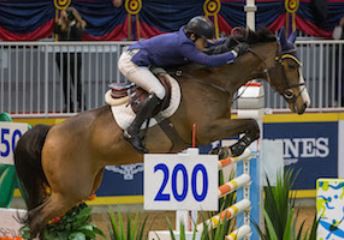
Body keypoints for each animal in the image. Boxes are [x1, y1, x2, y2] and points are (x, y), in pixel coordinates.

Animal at [13, 27, 310, 238]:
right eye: (291, 66)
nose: (303, 104)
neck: (212, 81)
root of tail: (51, 132)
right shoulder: (206, 128)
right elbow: (252, 125)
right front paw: (231, 148)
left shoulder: (216, 125)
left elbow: (251, 128)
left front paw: (225, 148)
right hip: (69, 192)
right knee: (36, 219)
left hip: (82, 186)